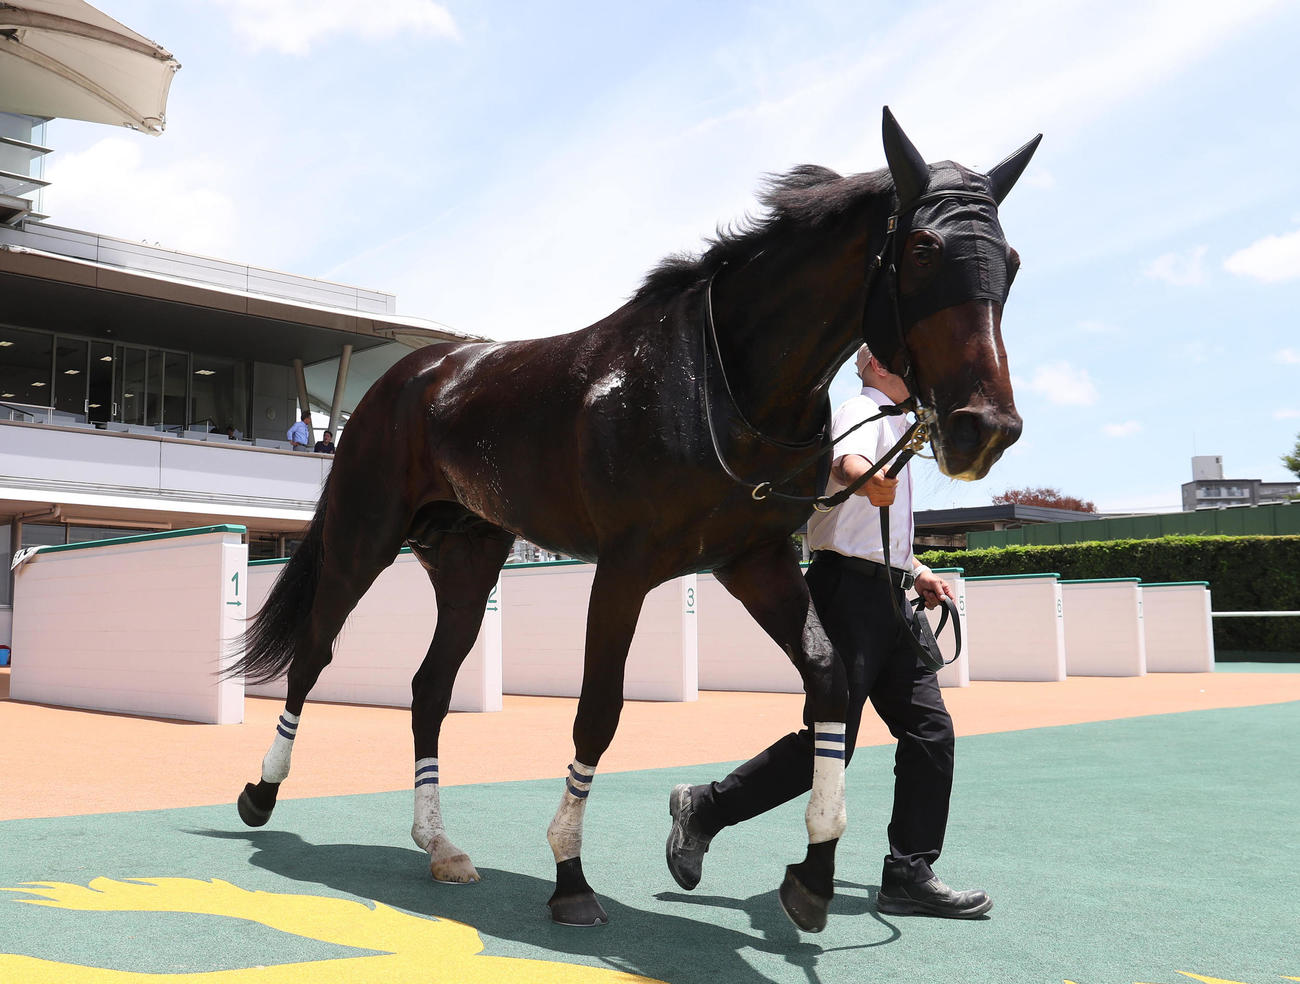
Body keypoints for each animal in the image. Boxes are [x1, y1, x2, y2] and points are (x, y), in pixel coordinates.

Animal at [229, 107, 1039, 933]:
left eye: (1009, 260)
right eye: (924, 247)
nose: (986, 427)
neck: (720, 382)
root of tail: (411, 373)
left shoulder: (755, 560)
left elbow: (831, 682)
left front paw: (813, 873)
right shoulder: (625, 567)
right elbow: (599, 710)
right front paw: (570, 875)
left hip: (467, 562)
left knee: (429, 686)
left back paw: (439, 844)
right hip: (363, 535)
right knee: (313, 653)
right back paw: (261, 793)